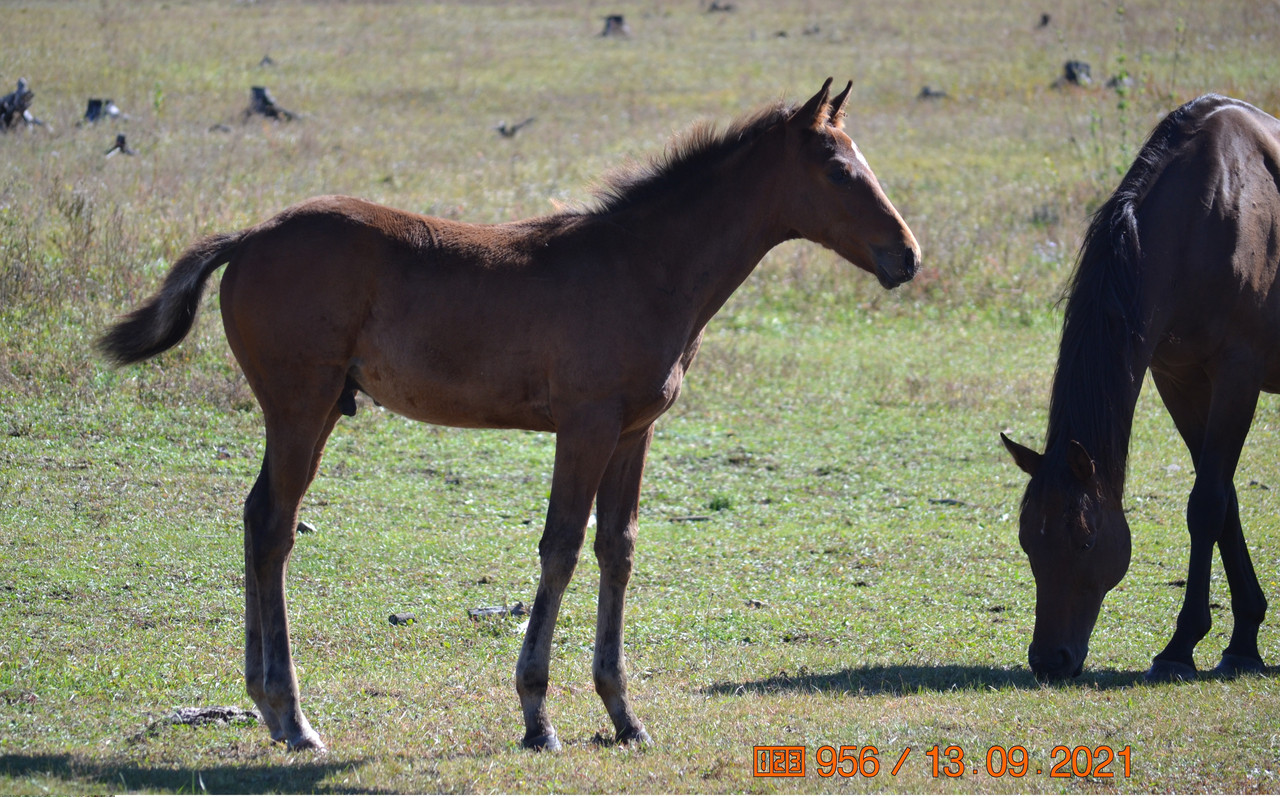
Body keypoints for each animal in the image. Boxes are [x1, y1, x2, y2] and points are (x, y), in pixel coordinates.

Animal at [97, 81, 921, 752]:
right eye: (838, 170)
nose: (906, 256)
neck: (643, 265)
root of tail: (249, 236)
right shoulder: (585, 427)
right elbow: (560, 548)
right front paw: (536, 717)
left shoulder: (633, 432)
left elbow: (616, 549)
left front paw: (624, 715)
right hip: (300, 406)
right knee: (273, 525)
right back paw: (292, 716)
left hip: (316, 409)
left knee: (254, 515)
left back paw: (268, 707)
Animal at [1003, 92, 1274, 680]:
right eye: (1027, 540)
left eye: (1085, 540)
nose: (1049, 660)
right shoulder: (1179, 379)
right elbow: (1226, 501)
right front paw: (1244, 638)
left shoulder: (1238, 375)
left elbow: (1207, 505)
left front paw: (1182, 645)